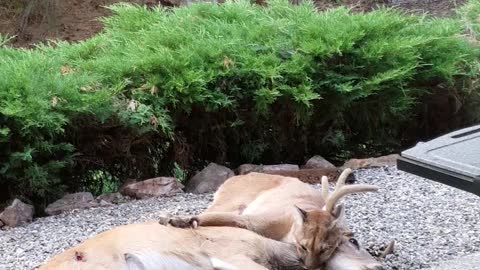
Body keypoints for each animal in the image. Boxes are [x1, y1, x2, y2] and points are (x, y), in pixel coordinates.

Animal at [161, 168, 394, 268]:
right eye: (353, 242)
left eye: (327, 248)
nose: (378, 267)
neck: (288, 231)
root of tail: (237, 176)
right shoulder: (260, 219)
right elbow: (222, 218)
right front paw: (176, 219)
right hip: (232, 199)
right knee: (216, 209)